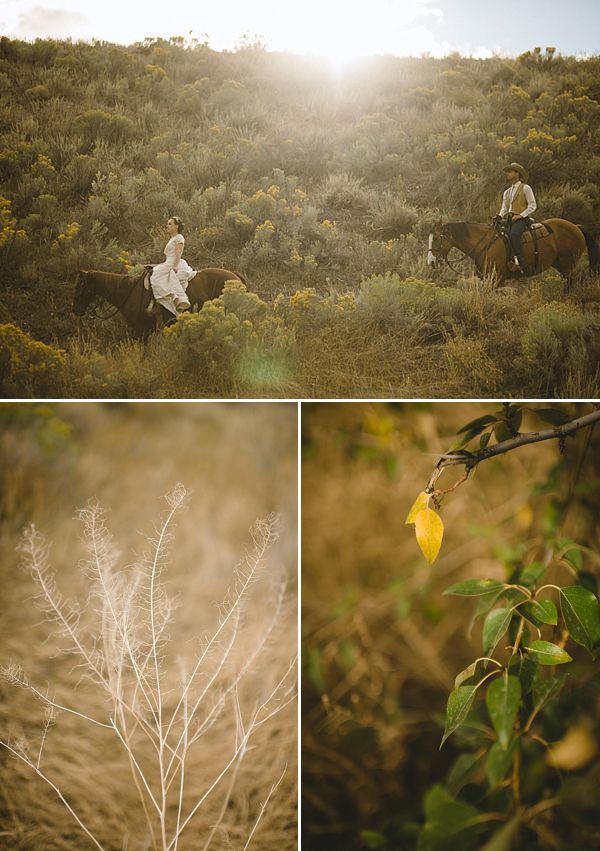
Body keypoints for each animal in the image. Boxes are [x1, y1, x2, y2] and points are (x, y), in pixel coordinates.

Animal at [426, 218, 600, 284]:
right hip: (562, 266)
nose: (431, 262)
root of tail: (576, 226)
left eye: (436, 238)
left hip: (568, 265)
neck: (485, 243)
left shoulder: (496, 279)